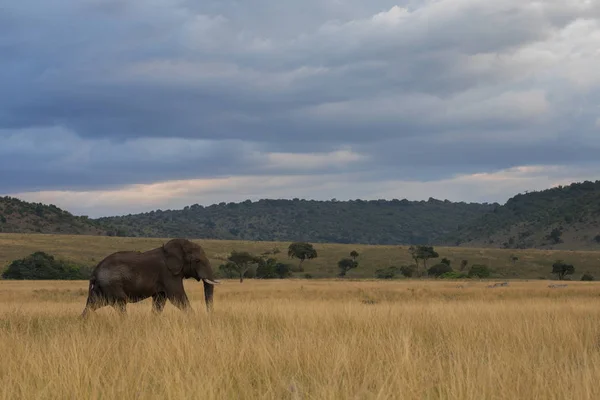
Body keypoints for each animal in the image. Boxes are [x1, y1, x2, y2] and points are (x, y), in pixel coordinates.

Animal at [79, 238, 219, 318]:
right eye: (197, 260)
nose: (209, 316)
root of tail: (95, 272)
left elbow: (160, 300)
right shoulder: (168, 273)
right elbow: (177, 297)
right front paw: (195, 319)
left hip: (101, 287)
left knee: (92, 304)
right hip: (111, 284)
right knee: (120, 304)